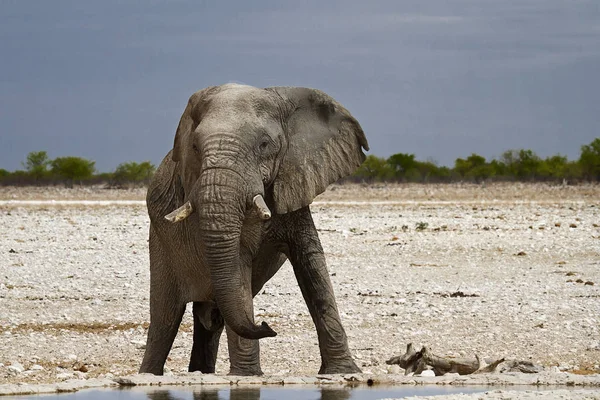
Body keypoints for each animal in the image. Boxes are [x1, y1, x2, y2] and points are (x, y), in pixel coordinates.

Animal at [141, 83, 368, 376]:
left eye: (264, 144)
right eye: (194, 147)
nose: (267, 326)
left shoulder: (293, 181)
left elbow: (311, 262)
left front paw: (344, 372)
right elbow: (239, 266)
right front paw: (248, 376)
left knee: (208, 320)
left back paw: (201, 372)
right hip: (160, 245)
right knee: (165, 319)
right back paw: (148, 373)